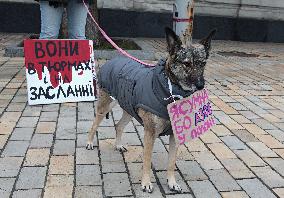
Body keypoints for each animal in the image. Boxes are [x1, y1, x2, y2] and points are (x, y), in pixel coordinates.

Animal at [86, 27, 215, 193]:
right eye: (186, 64)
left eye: (203, 63)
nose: (200, 85)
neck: (170, 89)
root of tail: (113, 60)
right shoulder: (150, 134)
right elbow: (147, 161)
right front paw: (146, 183)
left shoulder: (175, 136)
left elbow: (171, 162)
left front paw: (172, 182)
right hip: (105, 106)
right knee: (94, 124)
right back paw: (89, 142)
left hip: (128, 109)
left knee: (119, 125)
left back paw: (118, 145)